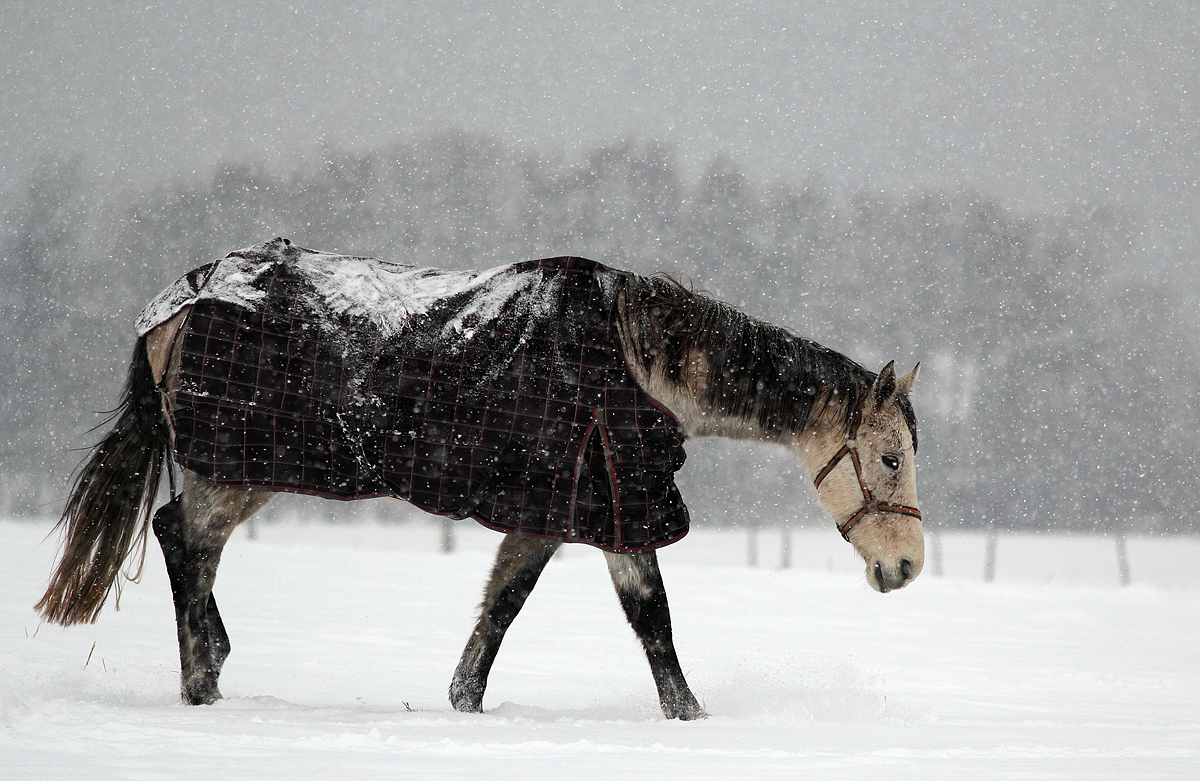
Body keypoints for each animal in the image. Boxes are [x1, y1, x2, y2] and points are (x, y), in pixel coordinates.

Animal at [35, 238, 916, 719]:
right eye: (892, 456)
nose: (905, 567)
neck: (631, 363)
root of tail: (176, 302)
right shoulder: (619, 507)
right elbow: (653, 621)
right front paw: (692, 716)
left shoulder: (549, 512)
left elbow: (502, 605)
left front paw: (464, 700)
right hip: (234, 471)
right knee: (186, 545)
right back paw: (201, 684)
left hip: (236, 470)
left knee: (187, 544)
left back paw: (215, 663)